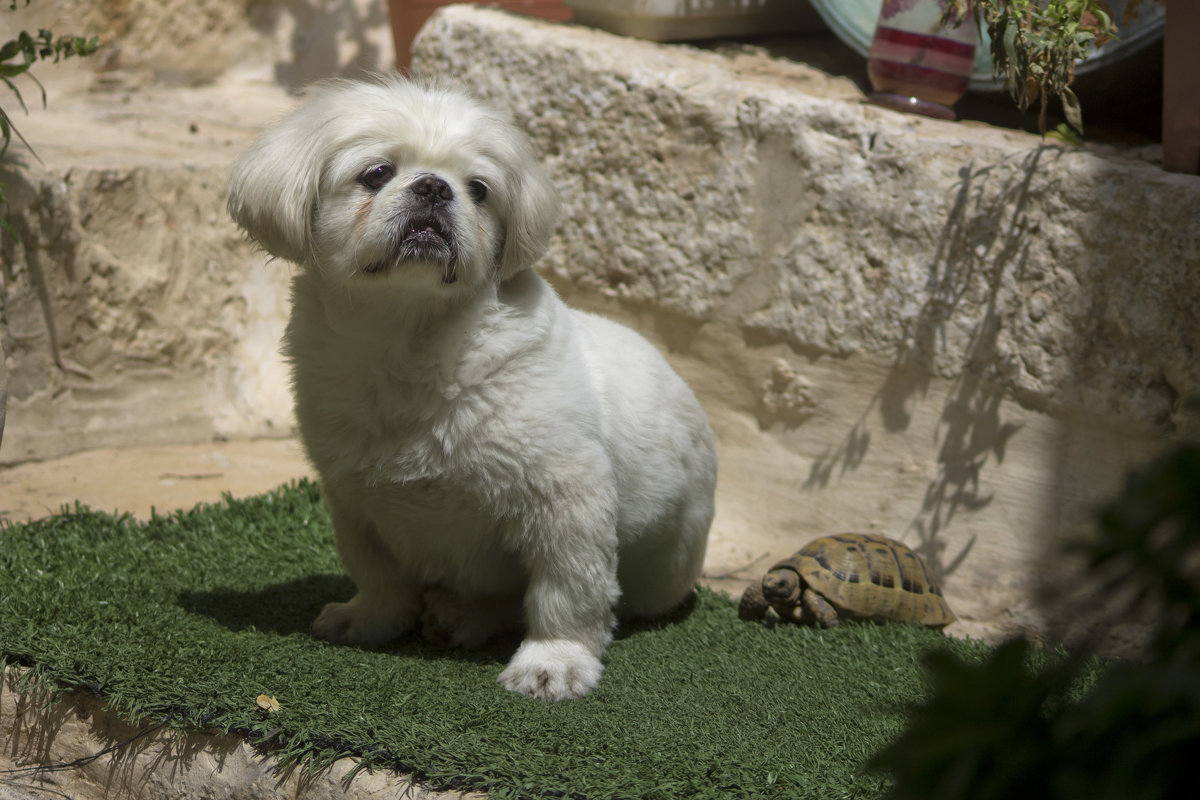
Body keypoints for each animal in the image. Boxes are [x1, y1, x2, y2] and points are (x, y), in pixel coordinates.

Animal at [226, 76, 710, 700]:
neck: (407, 346)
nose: (434, 187)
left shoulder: (566, 500)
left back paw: (467, 618)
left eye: (479, 189)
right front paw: (372, 620)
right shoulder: (354, 501)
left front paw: (555, 663)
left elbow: (566, 593)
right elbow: (379, 576)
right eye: (376, 173)